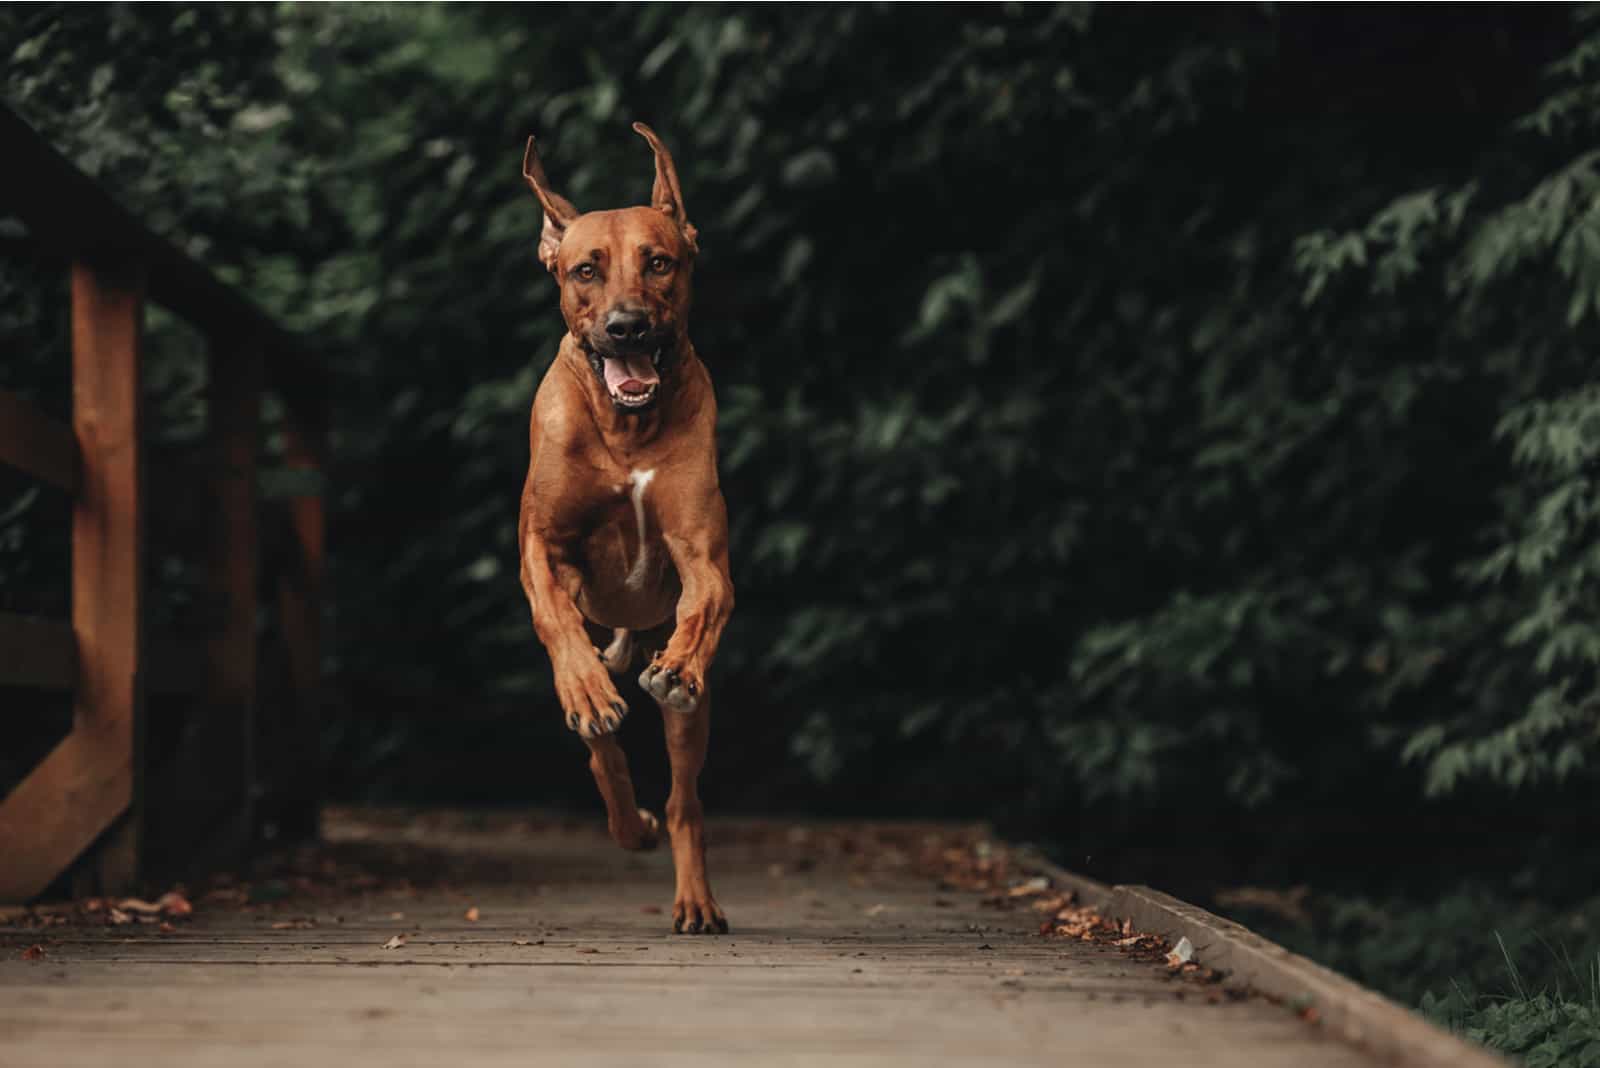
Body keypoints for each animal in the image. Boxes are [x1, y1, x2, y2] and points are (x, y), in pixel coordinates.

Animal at [515, 120, 732, 927]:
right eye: (585, 270)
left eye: (660, 262)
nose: (627, 327)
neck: (626, 428)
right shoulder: (541, 547)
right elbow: (555, 619)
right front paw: (585, 690)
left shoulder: (702, 553)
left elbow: (708, 601)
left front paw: (679, 664)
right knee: (601, 750)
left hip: (691, 724)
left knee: (683, 800)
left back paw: (692, 894)